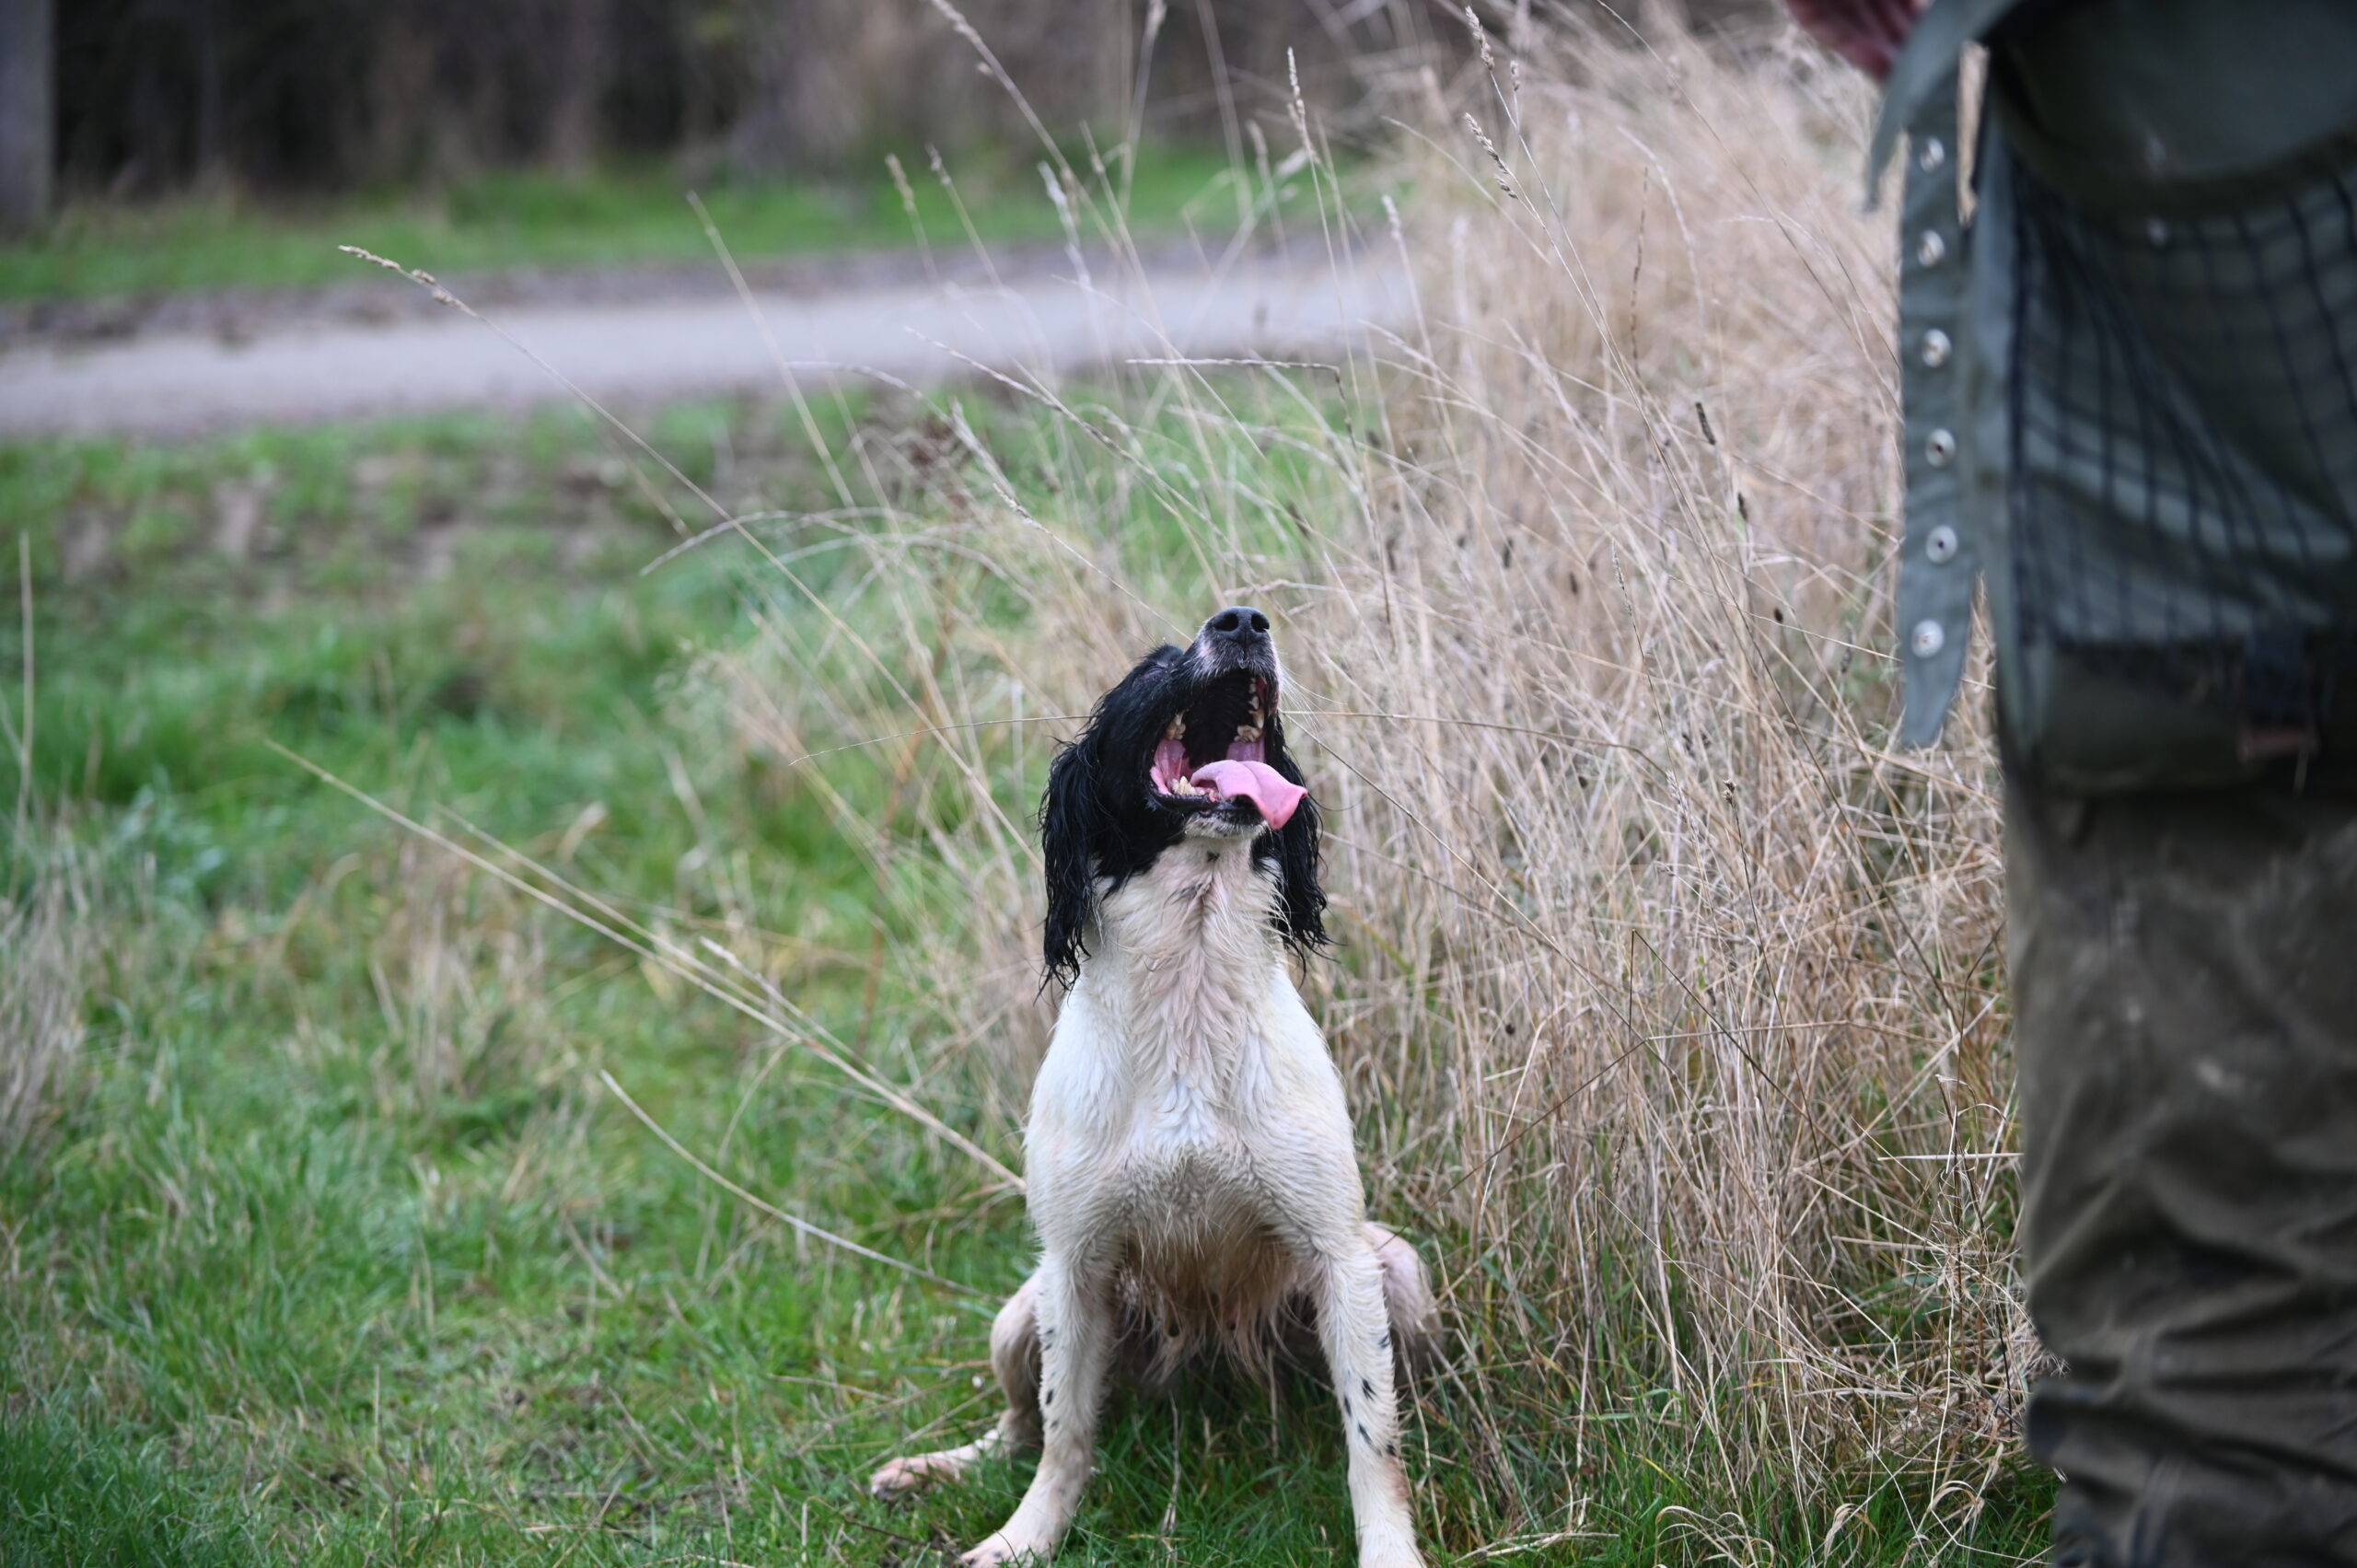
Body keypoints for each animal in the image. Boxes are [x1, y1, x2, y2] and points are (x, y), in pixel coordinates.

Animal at [867, 603, 1433, 1556]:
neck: (1191, 993)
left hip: (1399, 1271)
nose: (1243, 619)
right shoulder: (1073, 1266)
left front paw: (1392, 1550)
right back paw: (936, 1468)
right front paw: (1025, 1539)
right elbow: (1065, 1432)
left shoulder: (1341, 1256)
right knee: (1016, 1425)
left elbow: (1373, 1437)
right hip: (1020, 1312)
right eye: (1153, 668)